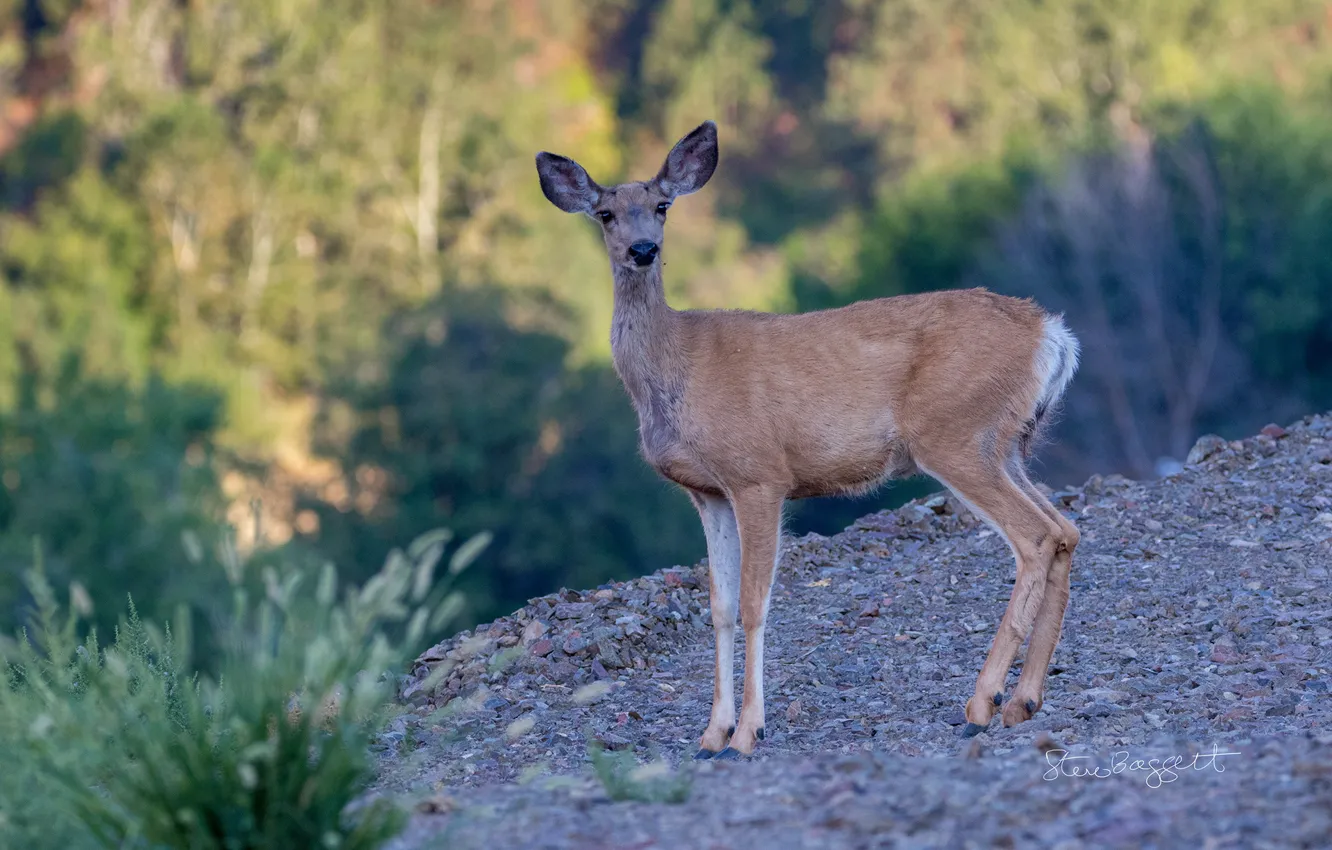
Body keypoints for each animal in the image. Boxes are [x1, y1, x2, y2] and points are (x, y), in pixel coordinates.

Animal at [535, 120, 1081, 760]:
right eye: (605, 213)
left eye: (662, 206)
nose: (643, 250)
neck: (676, 368)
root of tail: (1053, 335)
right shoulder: (707, 492)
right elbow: (719, 607)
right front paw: (710, 734)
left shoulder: (758, 474)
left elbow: (754, 604)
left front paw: (748, 732)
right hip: (1008, 443)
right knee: (1065, 529)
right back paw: (1023, 701)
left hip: (955, 434)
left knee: (1037, 537)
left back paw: (981, 703)